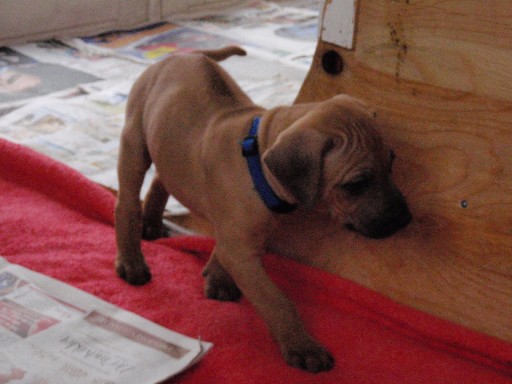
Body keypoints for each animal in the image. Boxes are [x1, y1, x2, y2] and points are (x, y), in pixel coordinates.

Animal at [116, 45, 412, 372]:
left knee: (163, 178)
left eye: (391, 163)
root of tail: (187, 53)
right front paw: (302, 345)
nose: (405, 219)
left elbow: (224, 249)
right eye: (356, 185)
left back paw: (152, 222)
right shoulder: (243, 251)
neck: (256, 161)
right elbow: (275, 300)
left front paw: (217, 275)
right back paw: (132, 260)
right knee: (126, 203)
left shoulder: (246, 235)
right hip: (134, 143)